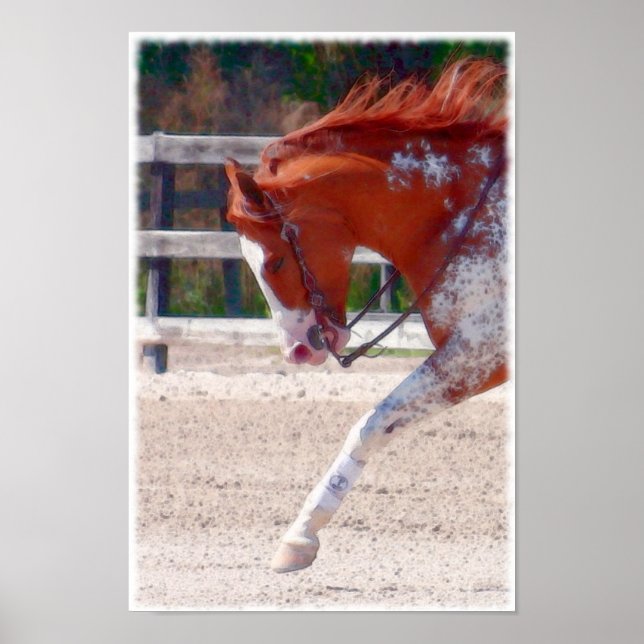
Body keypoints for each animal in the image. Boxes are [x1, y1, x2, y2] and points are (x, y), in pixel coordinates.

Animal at [224, 58, 511, 573]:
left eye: (275, 261)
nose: (297, 352)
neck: (463, 215)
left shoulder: (478, 353)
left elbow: (371, 426)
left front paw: (299, 537)